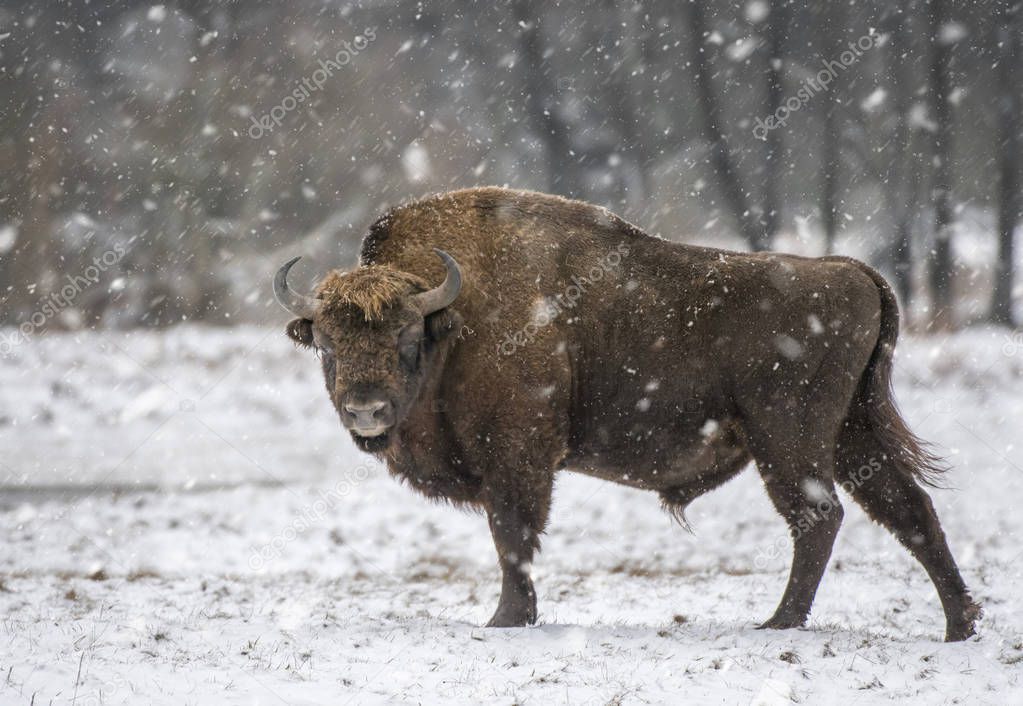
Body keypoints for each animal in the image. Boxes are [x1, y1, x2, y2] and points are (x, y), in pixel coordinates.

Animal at [276, 187, 977, 638]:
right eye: (327, 344)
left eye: (405, 338)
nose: (367, 411)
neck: (456, 317)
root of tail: (851, 272)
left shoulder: (519, 458)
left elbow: (512, 537)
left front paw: (506, 620)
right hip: (852, 435)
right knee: (908, 511)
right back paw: (960, 626)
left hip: (790, 440)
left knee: (819, 517)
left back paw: (779, 623)